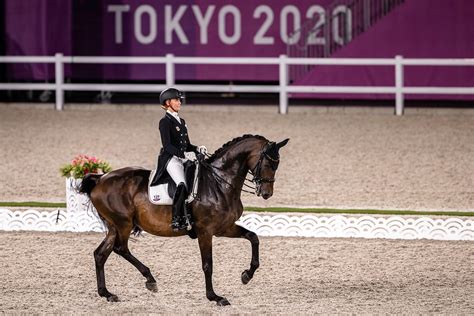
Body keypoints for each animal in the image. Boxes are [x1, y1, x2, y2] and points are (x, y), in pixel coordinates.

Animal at [78, 134, 288, 306]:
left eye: (277, 164)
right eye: (268, 163)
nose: (266, 193)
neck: (219, 182)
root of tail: (100, 179)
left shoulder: (224, 228)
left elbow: (253, 237)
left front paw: (246, 275)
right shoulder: (205, 231)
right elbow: (208, 264)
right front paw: (215, 297)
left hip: (114, 226)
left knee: (100, 254)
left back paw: (107, 293)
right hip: (124, 224)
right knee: (120, 249)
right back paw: (150, 280)